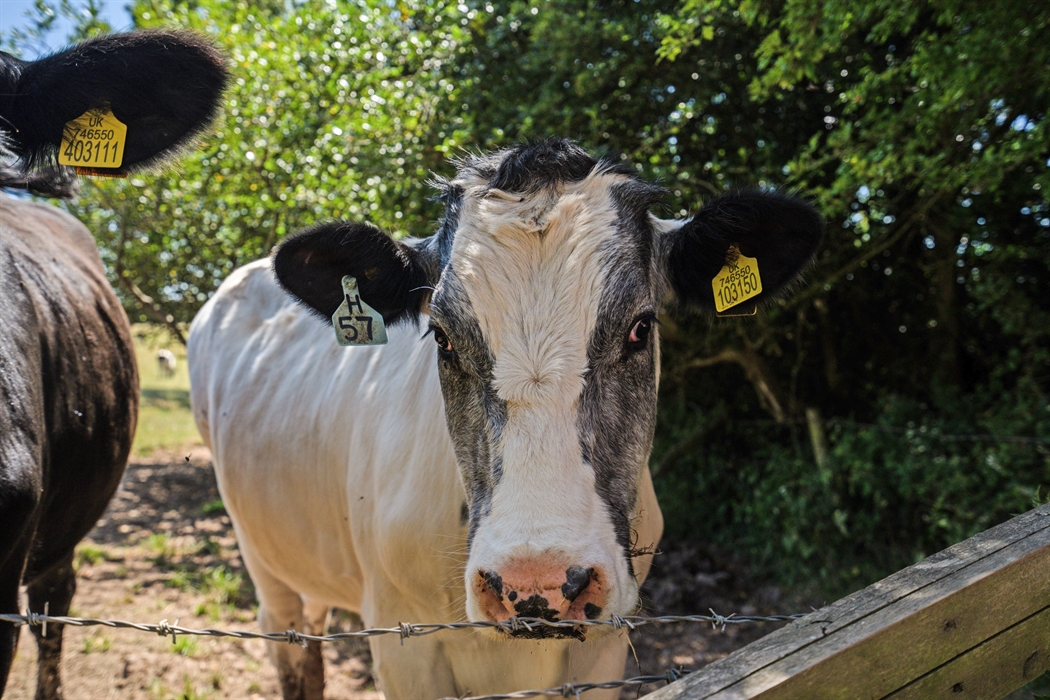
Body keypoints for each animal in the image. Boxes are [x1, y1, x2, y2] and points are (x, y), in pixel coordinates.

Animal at [188, 139, 823, 699]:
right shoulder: (402, 644)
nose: (535, 583)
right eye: (441, 337)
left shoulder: (604, 646)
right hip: (262, 557)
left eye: (641, 327)